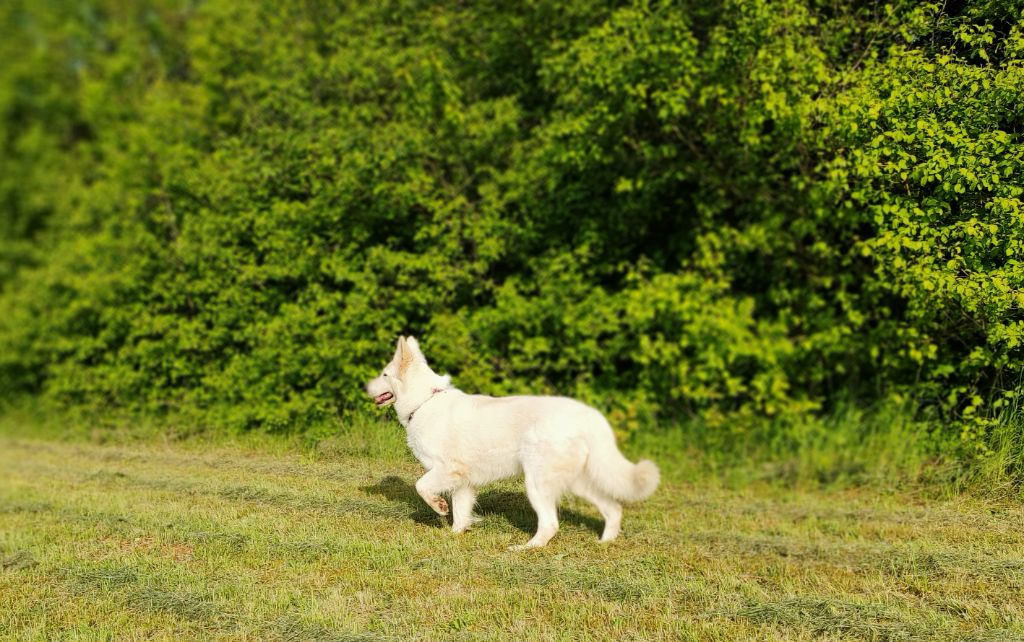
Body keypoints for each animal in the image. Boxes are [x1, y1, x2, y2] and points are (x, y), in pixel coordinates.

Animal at [364, 333, 659, 548]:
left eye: (384, 374)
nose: (364, 387)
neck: (424, 401)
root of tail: (587, 414)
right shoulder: (463, 482)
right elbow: (460, 512)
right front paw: (456, 535)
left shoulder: (447, 469)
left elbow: (421, 487)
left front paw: (439, 507)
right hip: (577, 482)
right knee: (613, 508)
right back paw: (604, 542)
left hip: (537, 482)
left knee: (550, 523)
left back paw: (525, 548)